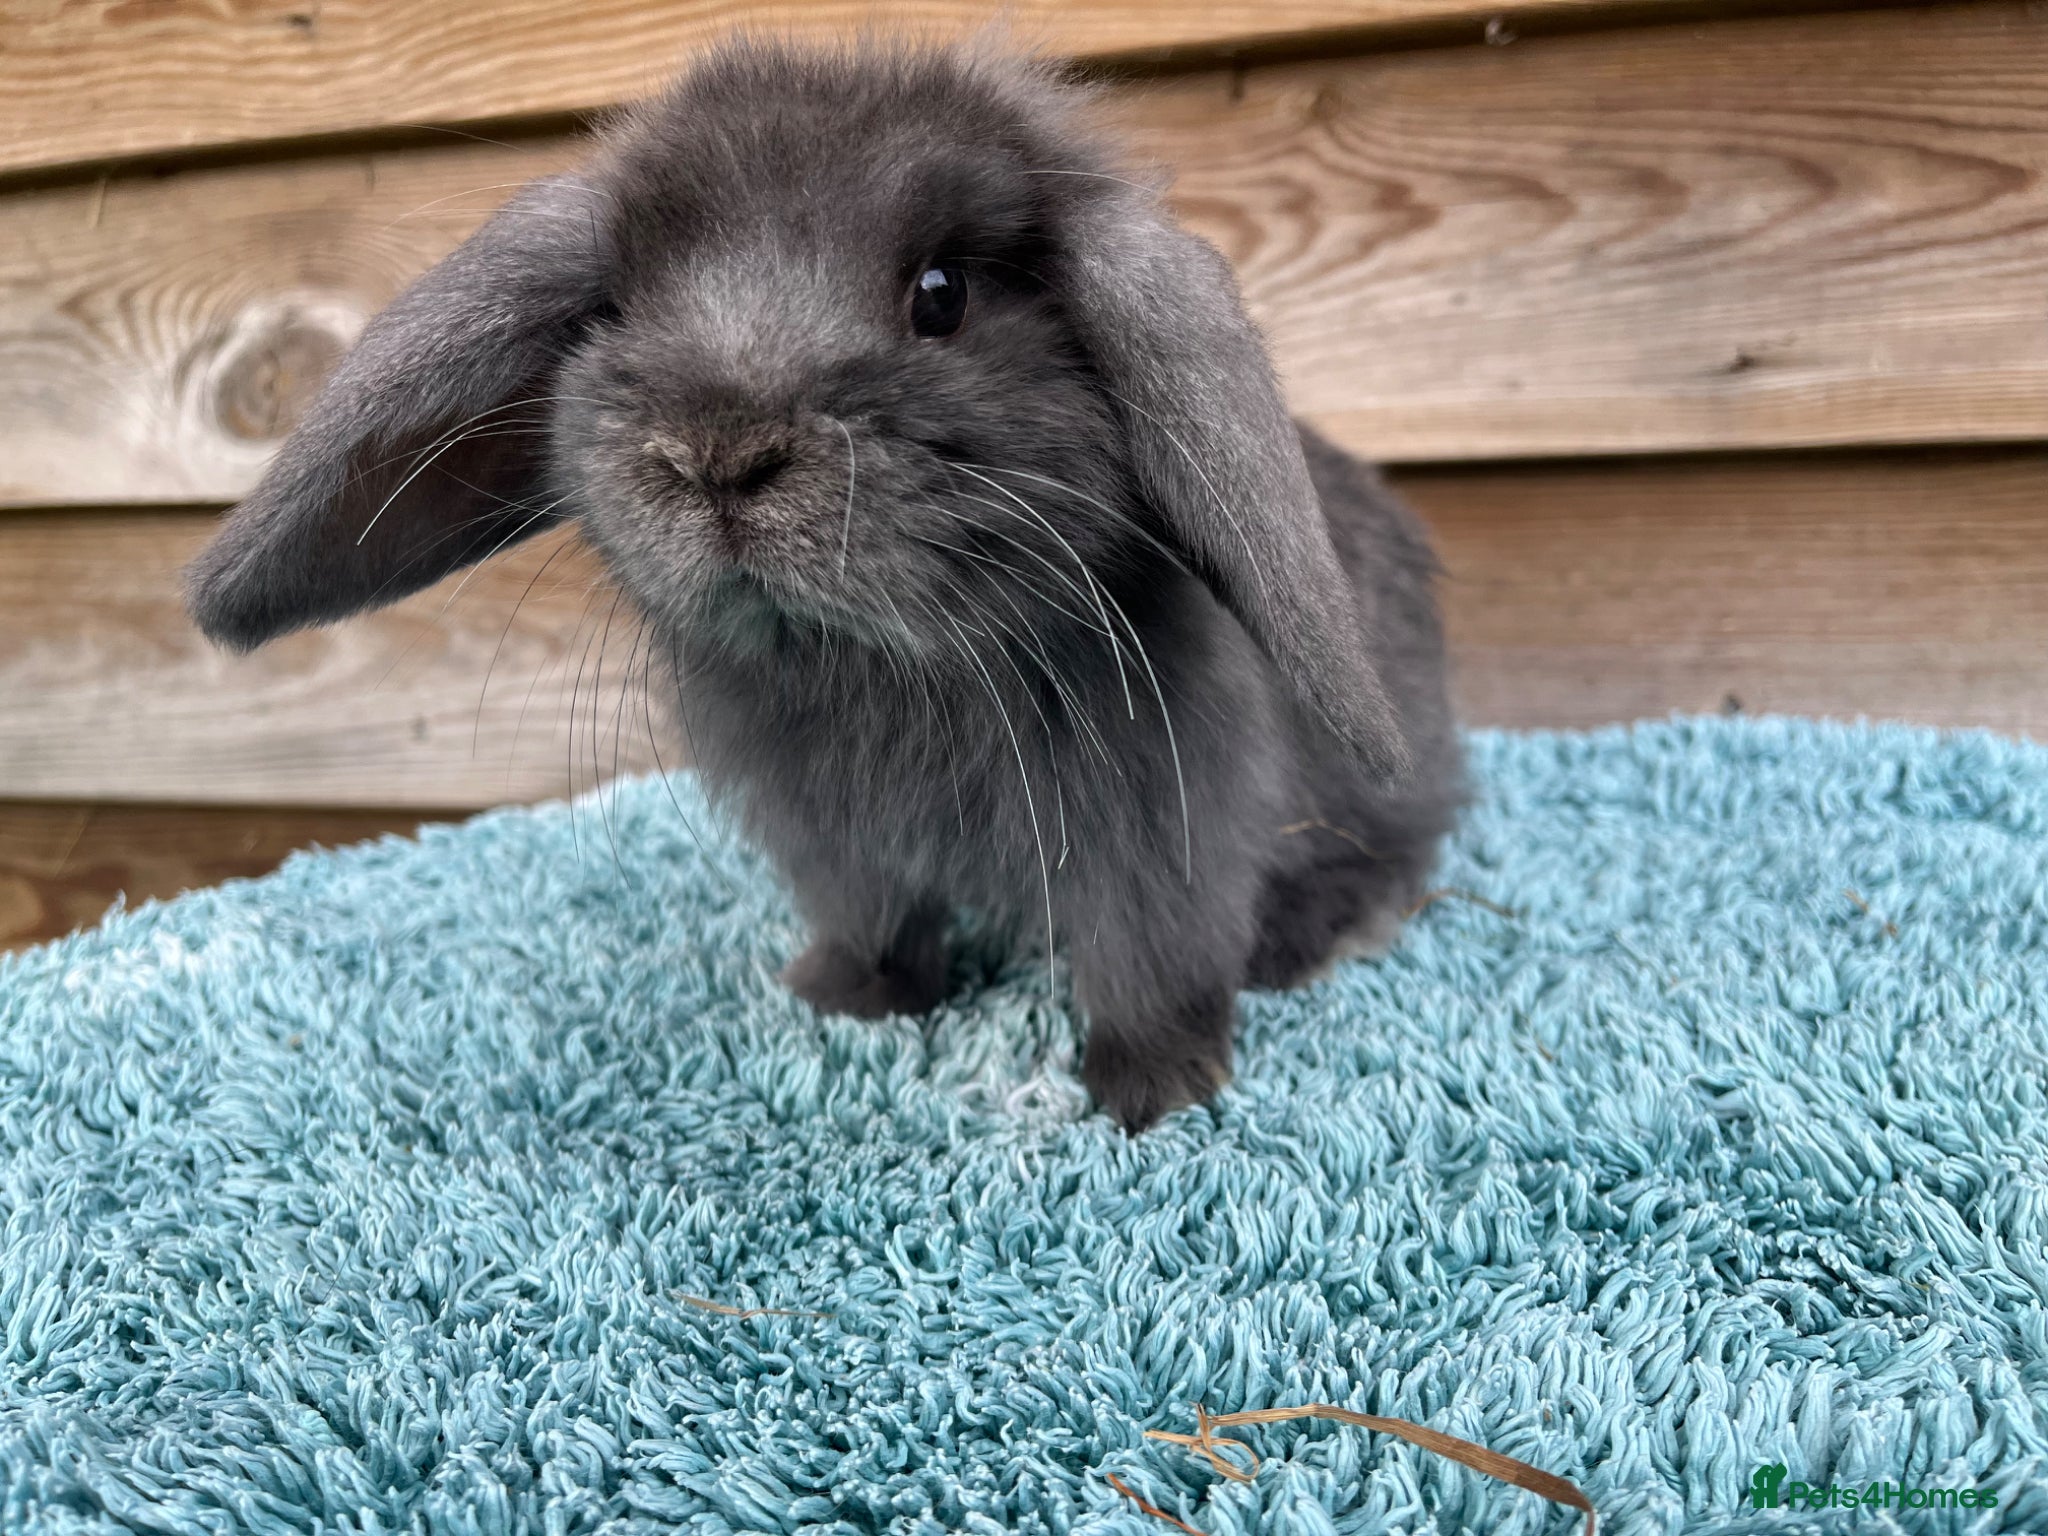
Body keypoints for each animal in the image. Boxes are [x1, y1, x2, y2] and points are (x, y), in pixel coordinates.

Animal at [185, 37, 1464, 1133]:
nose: (717, 450)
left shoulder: (1162, 831)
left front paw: (1152, 1089)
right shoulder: (833, 844)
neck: (881, 665)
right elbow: (875, 925)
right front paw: (843, 999)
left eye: (941, 293)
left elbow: (1152, 960)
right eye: (616, 306)